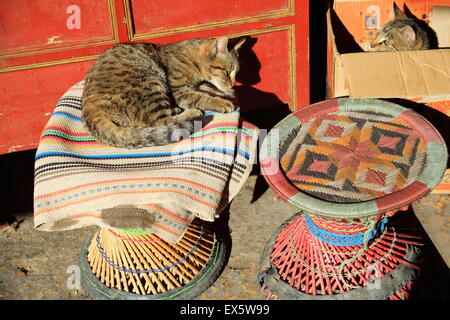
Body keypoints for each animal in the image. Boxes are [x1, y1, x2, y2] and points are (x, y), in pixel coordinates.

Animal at [82, 36, 248, 148]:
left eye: (236, 72)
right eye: (227, 72)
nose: (233, 83)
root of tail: (90, 109)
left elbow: (208, 90)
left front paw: (227, 94)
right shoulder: (181, 91)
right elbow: (202, 97)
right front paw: (222, 102)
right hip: (150, 83)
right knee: (160, 121)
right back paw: (191, 112)